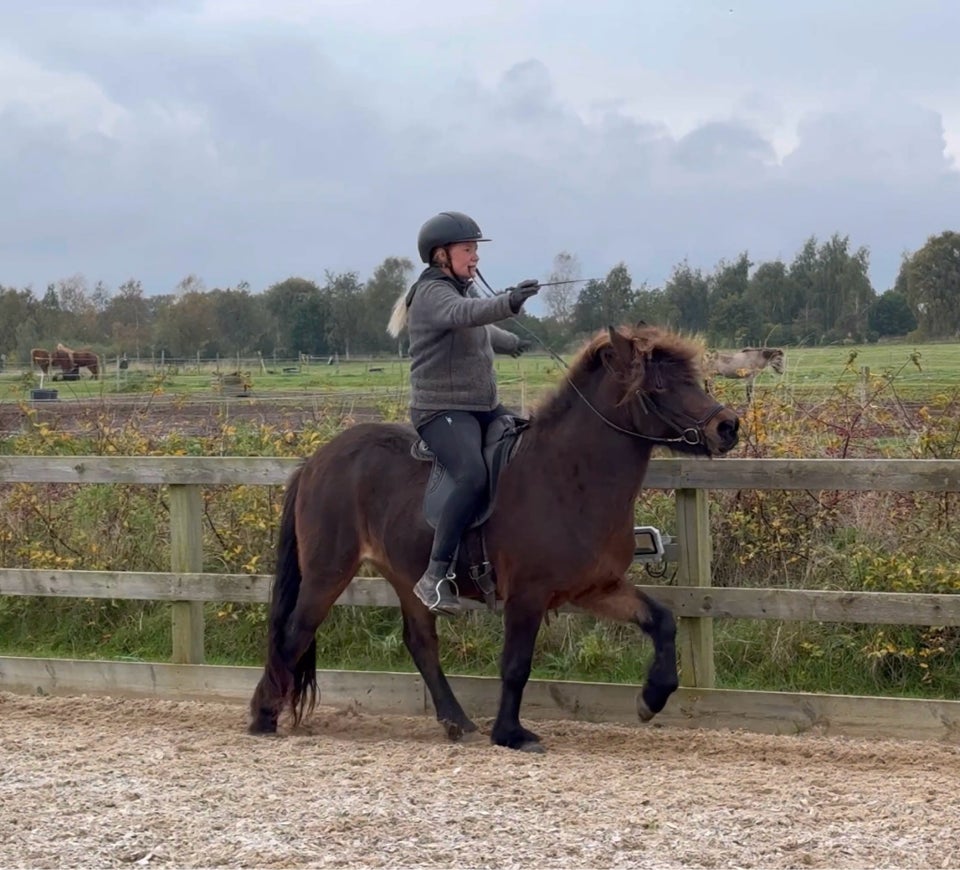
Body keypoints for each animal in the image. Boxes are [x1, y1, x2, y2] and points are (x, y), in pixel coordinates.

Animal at [249, 324, 744, 752]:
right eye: (657, 387)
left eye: (691, 379)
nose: (728, 427)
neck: (568, 477)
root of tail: (317, 460)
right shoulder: (527, 594)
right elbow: (516, 665)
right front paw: (511, 733)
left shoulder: (595, 587)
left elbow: (661, 620)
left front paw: (651, 698)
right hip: (328, 571)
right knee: (295, 631)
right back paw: (263, 716)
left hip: (406, 575)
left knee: (421, 644)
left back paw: (456, 722)